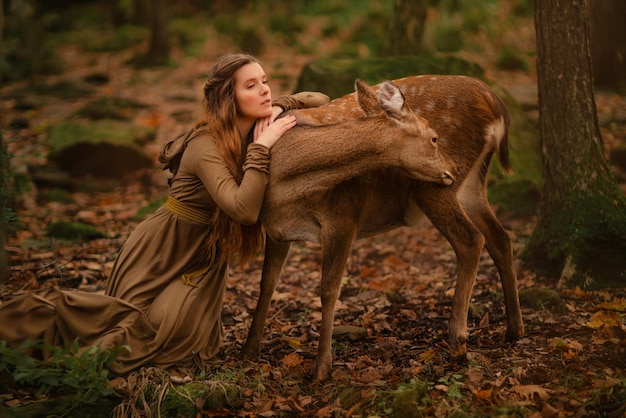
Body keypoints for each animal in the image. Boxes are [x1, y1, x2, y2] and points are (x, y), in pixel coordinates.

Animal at [241, 73, 524, 380]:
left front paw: (321, 368)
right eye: (433, 137)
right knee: (500, 238)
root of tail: (496, 103)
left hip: (435, 190)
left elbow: (328, 291)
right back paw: (514, 330)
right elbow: (267, 283)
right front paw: (249, 349)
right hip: (471, 186)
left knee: (471, 239)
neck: (283, 180)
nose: (452, 168)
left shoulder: (343, 216)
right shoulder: (277, 230)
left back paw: (458, 343)